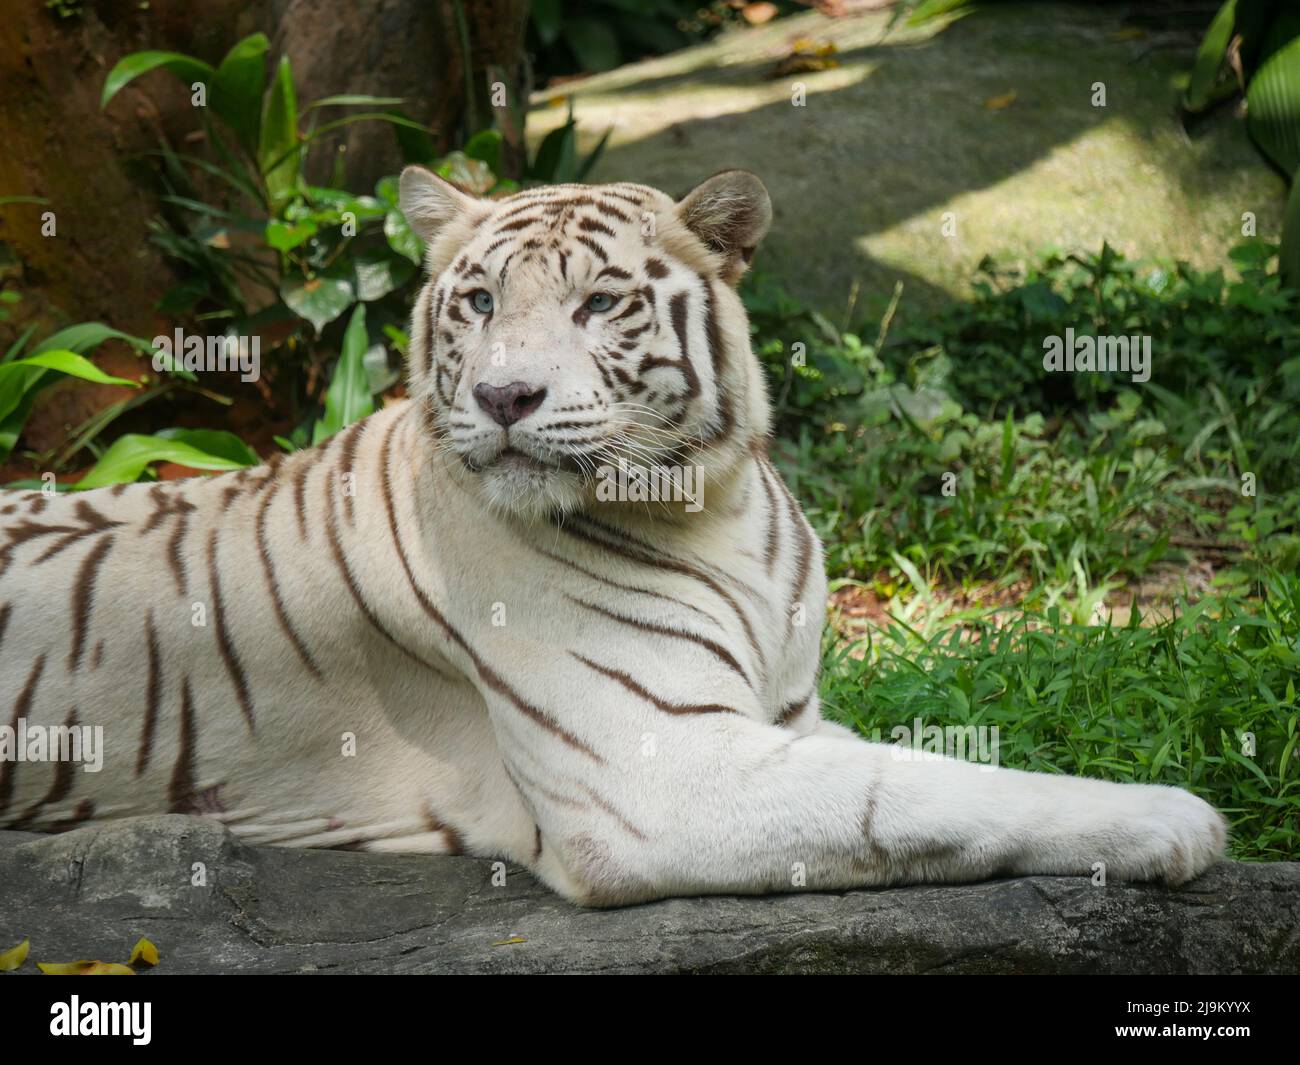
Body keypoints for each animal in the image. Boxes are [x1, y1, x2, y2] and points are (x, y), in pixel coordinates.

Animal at [0, 170, 1222, 905]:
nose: (503, 396)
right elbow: (927, 792)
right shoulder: (658, 769)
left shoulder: (788, 717)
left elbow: (920, 762)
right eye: (480, 302)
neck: (713, 504)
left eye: (597, 305)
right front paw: (1173, 819)